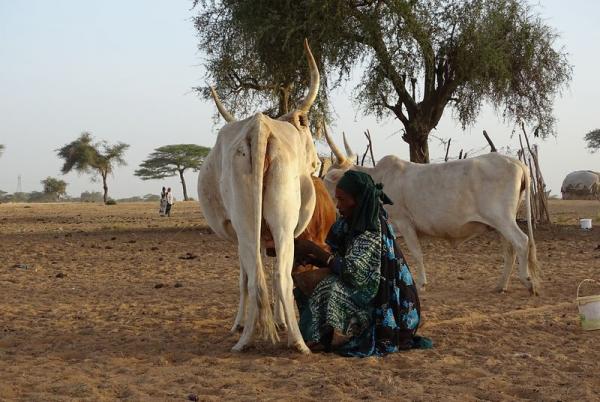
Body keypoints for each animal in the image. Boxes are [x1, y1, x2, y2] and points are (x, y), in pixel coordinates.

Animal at [197, 38, 318, 352]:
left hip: (249, 225)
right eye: (308, 127)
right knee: (277, 277)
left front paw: (247, 323)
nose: (316, 163)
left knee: (257, 277)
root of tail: (259, 127)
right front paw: (279, 322)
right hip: (280, 225)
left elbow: (247, 276)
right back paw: (293, 340)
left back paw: (248, 338)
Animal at [322, 130, 540, 296]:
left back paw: (528, 282)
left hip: (502, 219)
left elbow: (416, 254)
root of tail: (517, 163)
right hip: (499, 224)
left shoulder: (404, 222)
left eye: (328, 180)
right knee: (510, 250)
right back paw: (501, 286)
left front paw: (420, 284)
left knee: (522, 242)